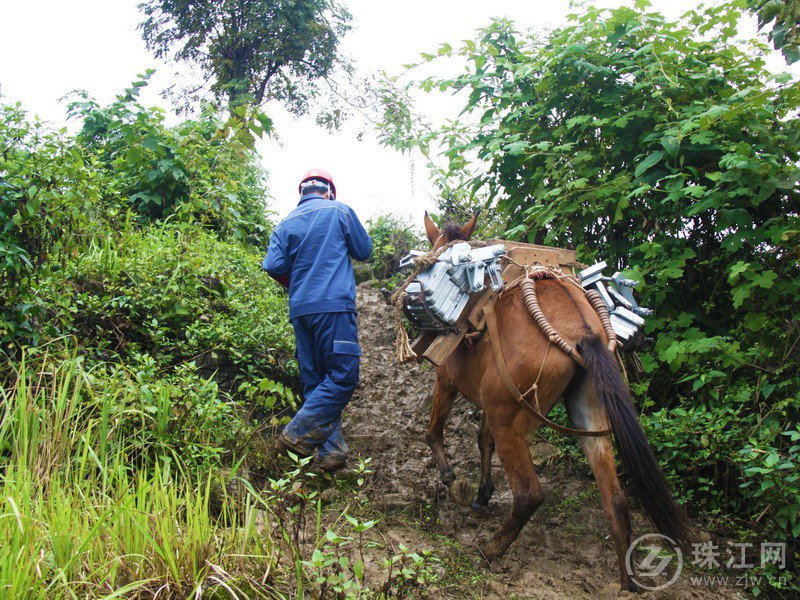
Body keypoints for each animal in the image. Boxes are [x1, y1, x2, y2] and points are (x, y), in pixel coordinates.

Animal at [422, 211, 692, 592]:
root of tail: (583, 332)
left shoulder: (447, 380)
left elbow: (435, 431)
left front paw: (451, 478)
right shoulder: (491, 403)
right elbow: (482, 440)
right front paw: (482, 494)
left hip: (511, 420)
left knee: (530, 494)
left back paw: (491, 550)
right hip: (588, 414)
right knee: (616, 500)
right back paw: (627, 584)